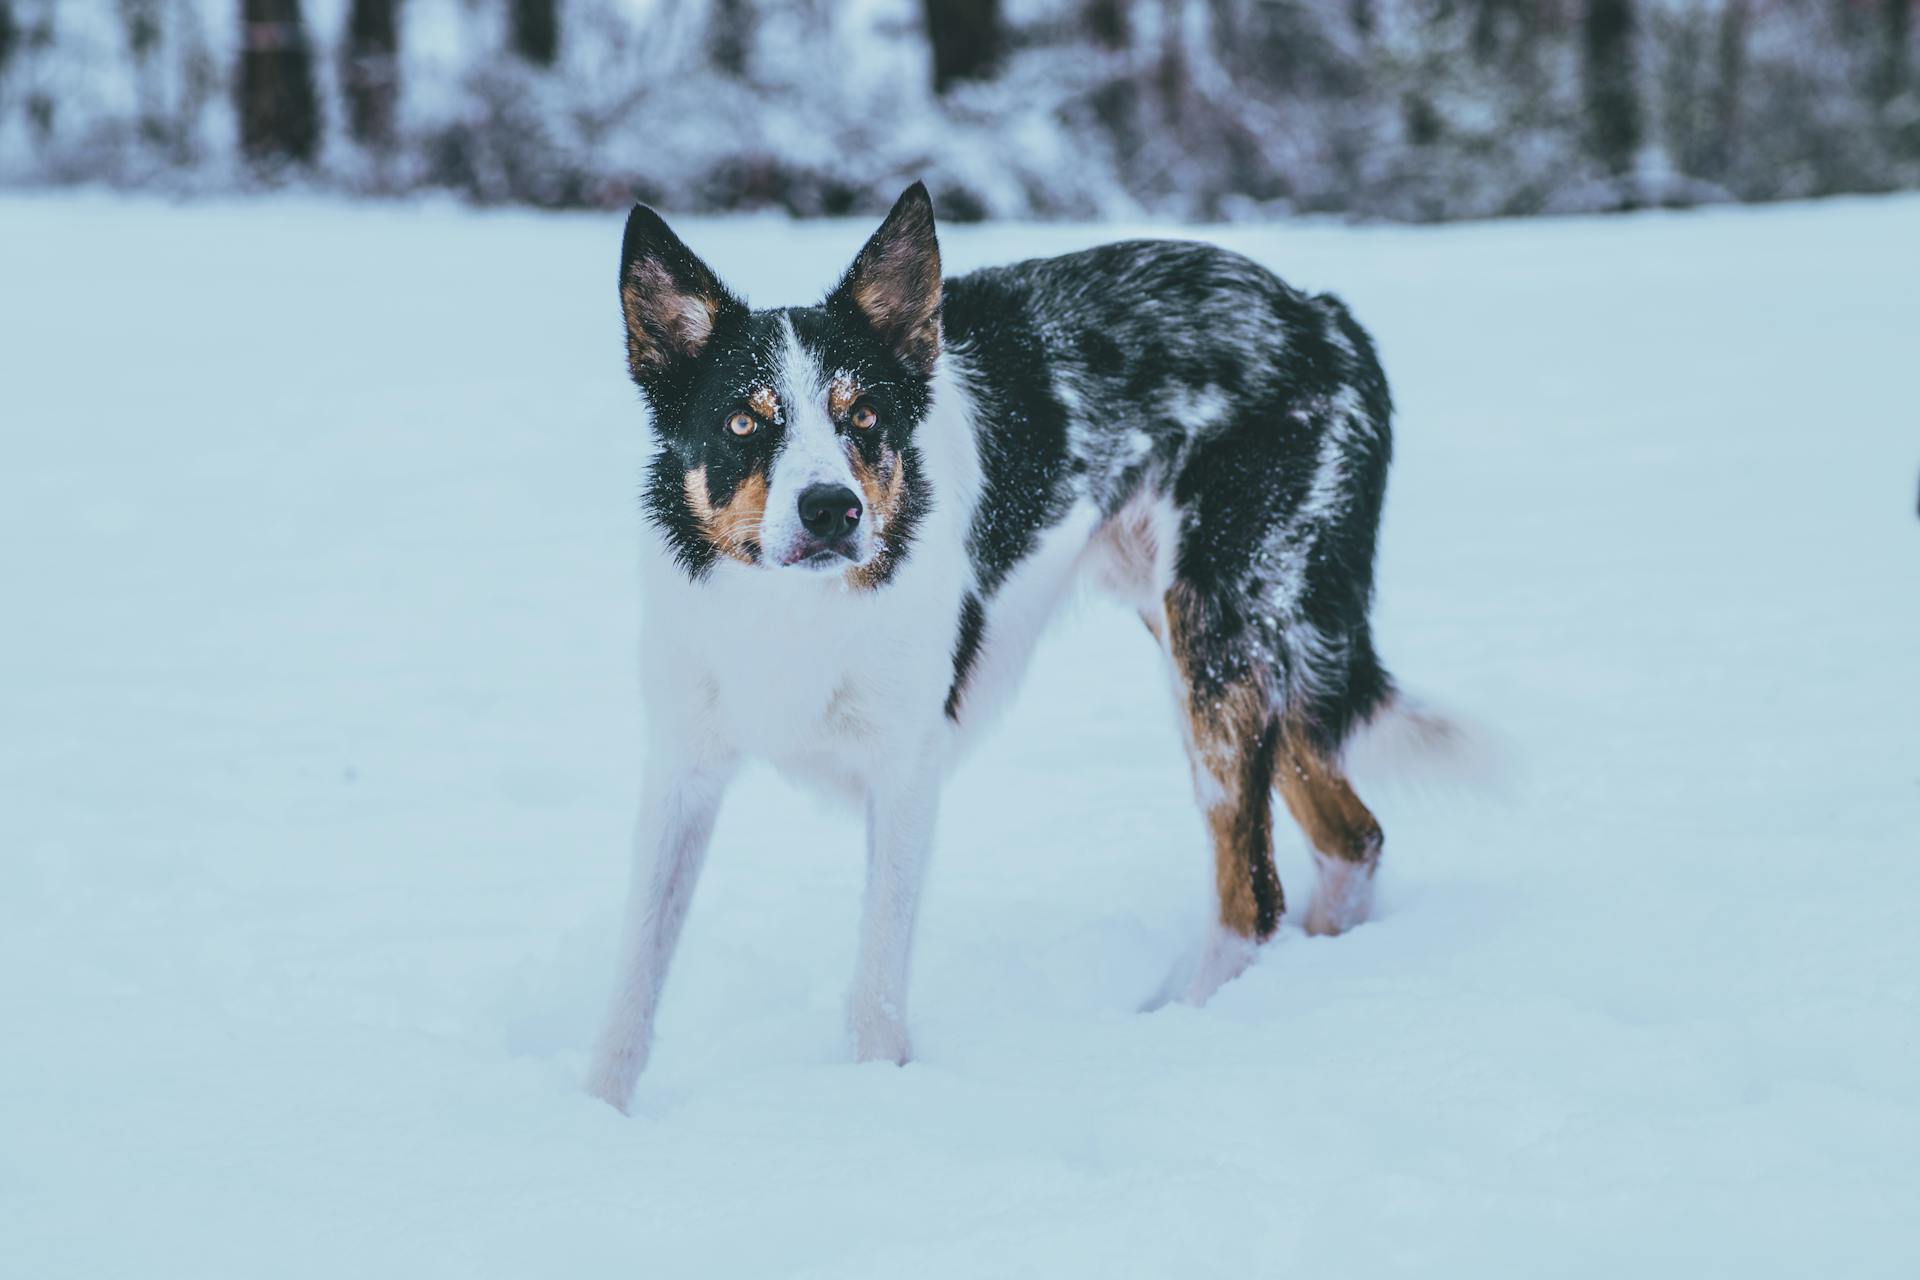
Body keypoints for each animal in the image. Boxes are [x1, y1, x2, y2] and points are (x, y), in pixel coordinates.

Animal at [583, 180, 1413, 1113]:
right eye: (741, 422)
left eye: (863, 415)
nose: (832, 510)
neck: (796, 611)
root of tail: (1319, 310)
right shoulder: (683, 768)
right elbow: (636, 972)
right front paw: (595, 1113)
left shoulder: (905, 772)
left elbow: (876, 983)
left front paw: (872, 1104)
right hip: (1227, 645)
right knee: (1351, 839)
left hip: (1220, 646)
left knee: (1254, 897)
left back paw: (1186, 1032)